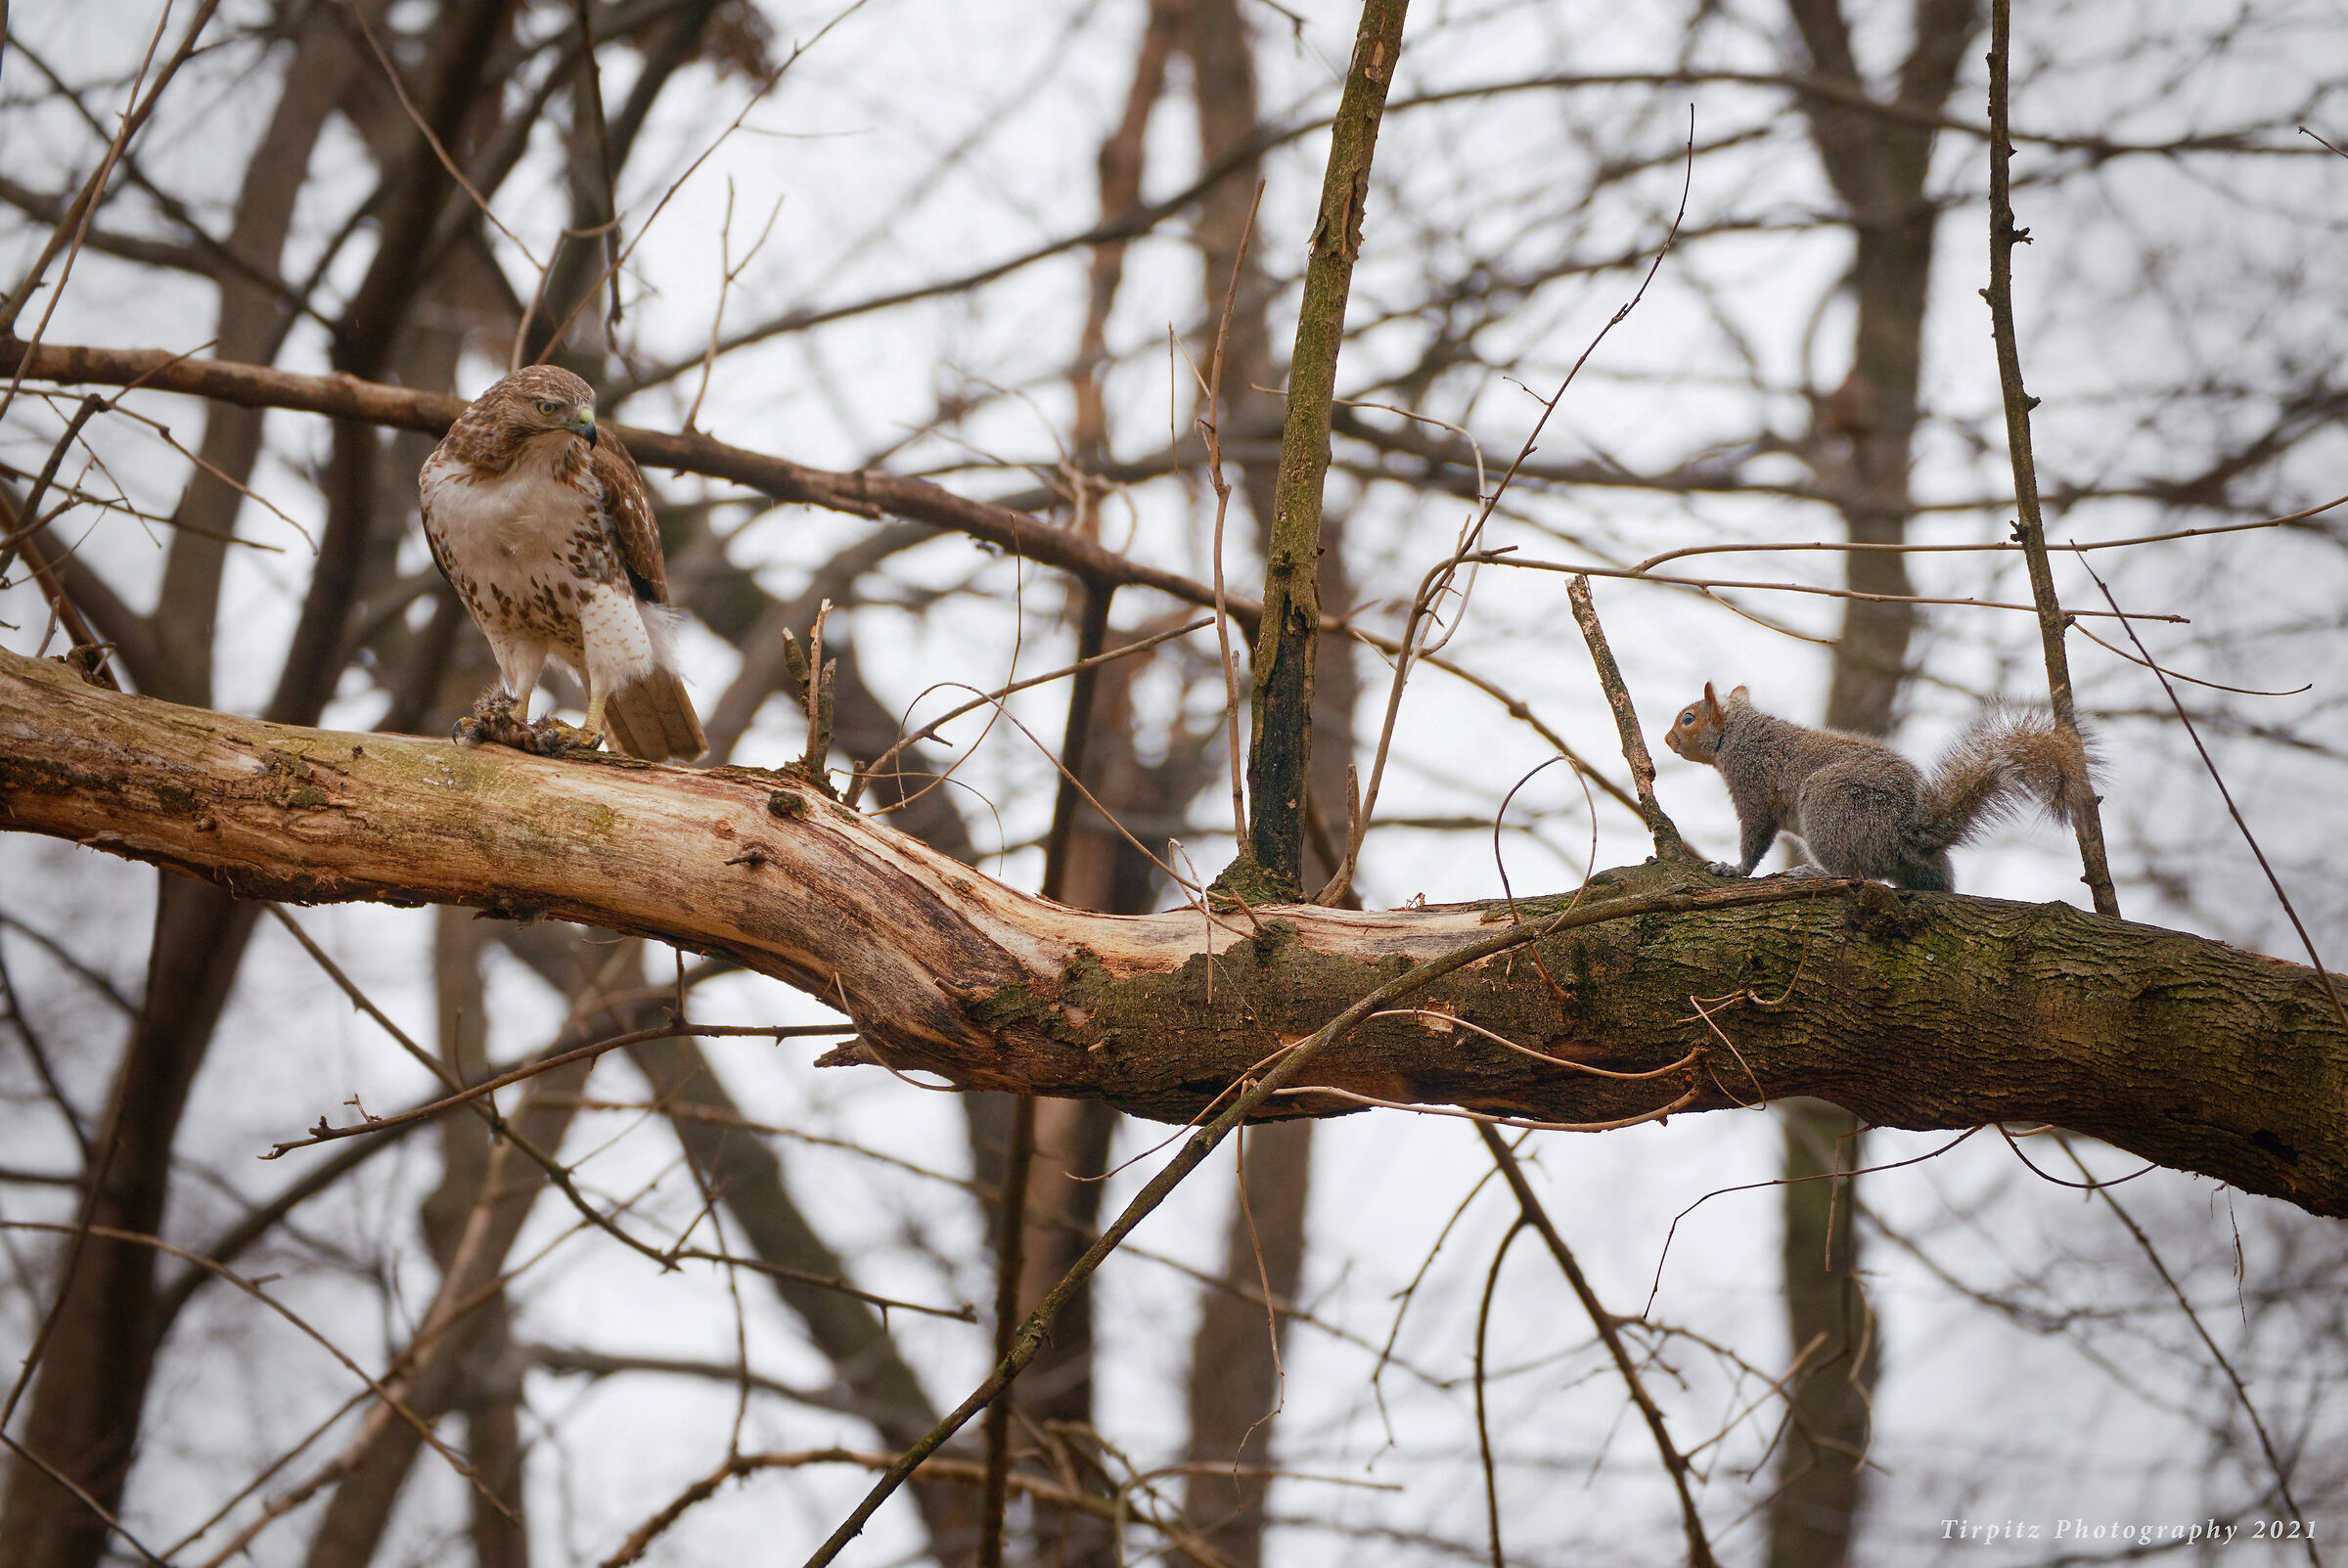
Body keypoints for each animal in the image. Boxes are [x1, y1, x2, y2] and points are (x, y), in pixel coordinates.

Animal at [1662, 683, 2096, 892]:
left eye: (1688, 718)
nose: (1667, 740)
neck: (1738, 734)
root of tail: (1907, 833)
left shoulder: (1752, 781)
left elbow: (1755, 836)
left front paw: (1733, 869)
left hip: (1828, 805)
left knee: (1854, 873)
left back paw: (1812, 872)